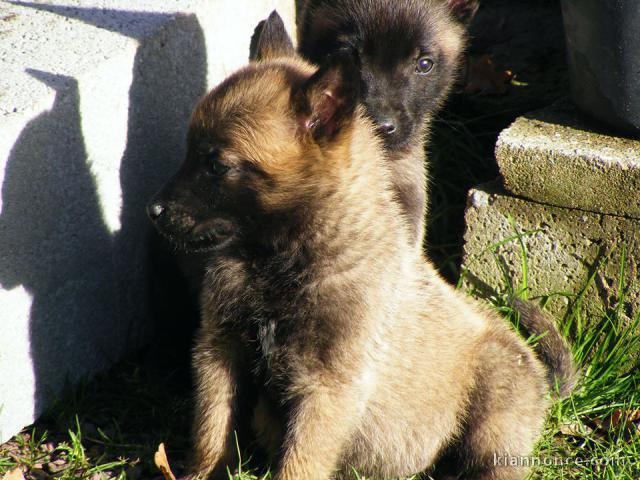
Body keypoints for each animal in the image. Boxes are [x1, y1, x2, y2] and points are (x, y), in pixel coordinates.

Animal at [148, 46, 572, 480]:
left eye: (217, 165)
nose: (153, 210)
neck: (281, 261)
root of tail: (541, 378)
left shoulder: (326, 388)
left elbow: (299, 464)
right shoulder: (220, 351)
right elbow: (212, 431)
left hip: (495, 413)